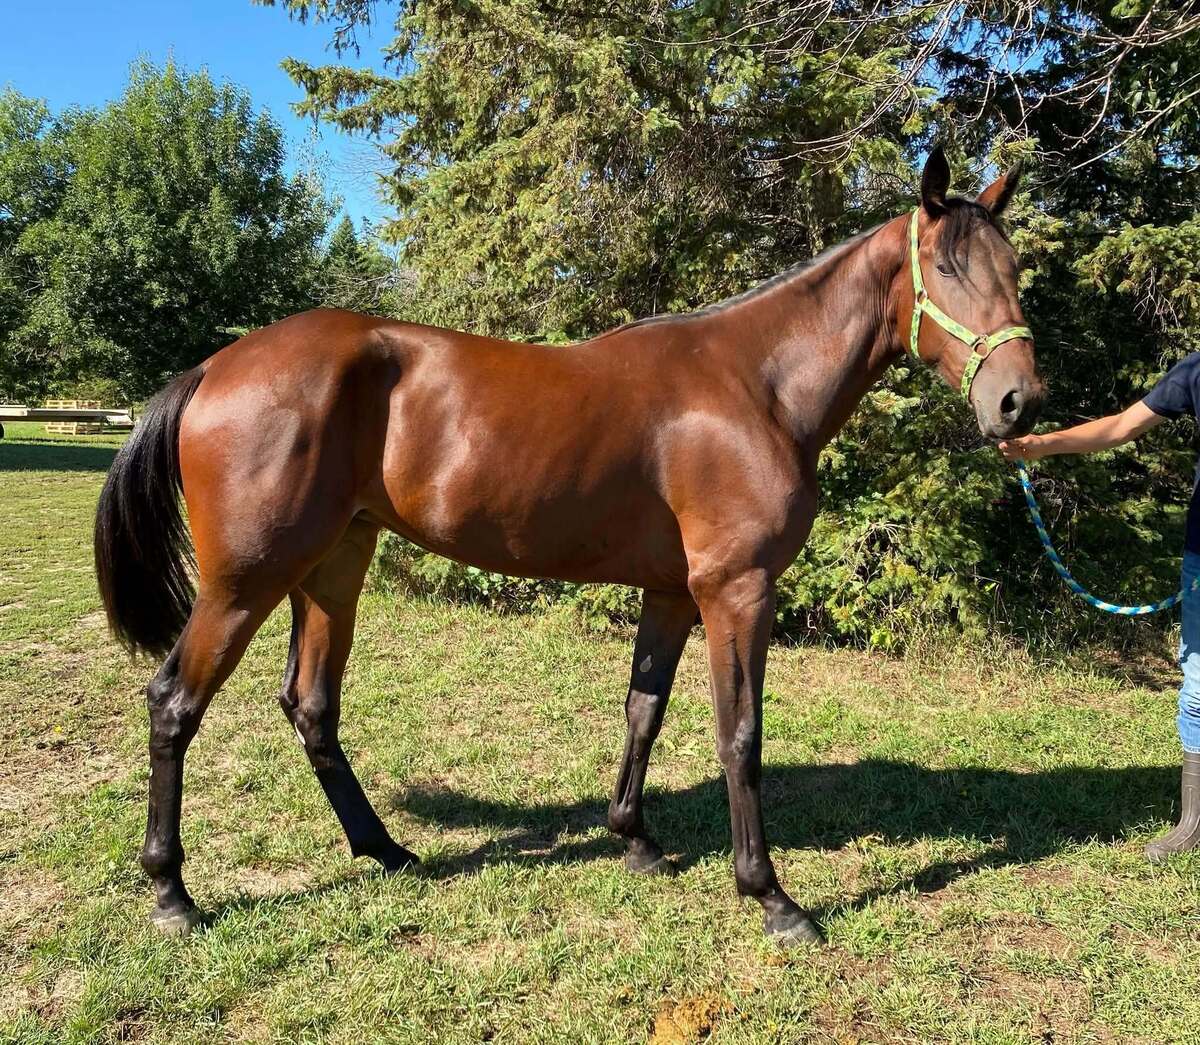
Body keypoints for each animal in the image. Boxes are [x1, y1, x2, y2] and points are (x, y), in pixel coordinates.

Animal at [94, 147, 1043, 944]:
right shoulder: (737, 589)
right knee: (174, 703)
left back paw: (388, 852)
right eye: (949, 267)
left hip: (332, 568)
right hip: (244, 582)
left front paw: (636, 840)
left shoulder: (673, 592)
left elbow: (644, 710)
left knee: (311, 706)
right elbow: (740, 734)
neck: (757, 385)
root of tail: (215, 369)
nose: (1019, 402)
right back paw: (173, 893)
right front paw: (772, 896)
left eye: (1015, 270)